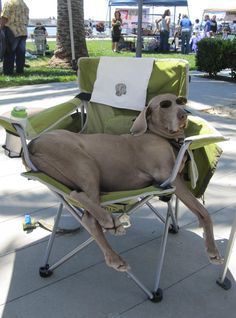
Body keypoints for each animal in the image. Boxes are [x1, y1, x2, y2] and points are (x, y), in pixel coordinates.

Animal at [27, 93, 223, 272]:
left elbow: (201, 212)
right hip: (84, 163)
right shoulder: (169, 177)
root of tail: (32, 144)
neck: (161, 137)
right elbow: (204, 212)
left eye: (180, 101)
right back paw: (111, 231)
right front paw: (213, 250)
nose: (184, 114)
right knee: (84, 209)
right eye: (165, 105)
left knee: (80, 199)